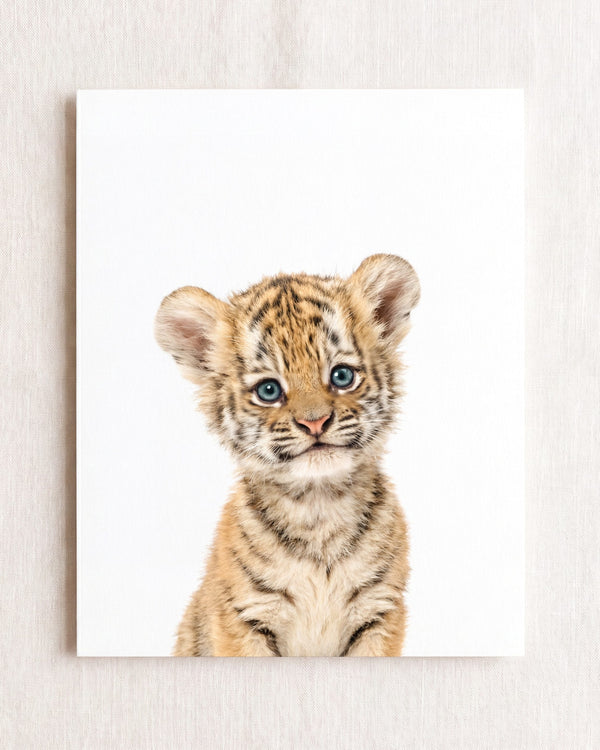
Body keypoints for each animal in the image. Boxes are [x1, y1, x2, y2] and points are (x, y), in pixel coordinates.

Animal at [155, 253, 420, 656]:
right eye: (268, 390)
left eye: (342, 376)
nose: (315, 422)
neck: (319, 507)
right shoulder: (243, 617)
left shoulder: (379, 612)